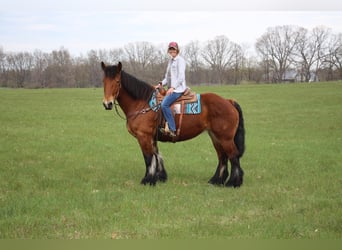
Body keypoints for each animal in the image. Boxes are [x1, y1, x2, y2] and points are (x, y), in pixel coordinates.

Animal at [100, 62, 244, 188]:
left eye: (117, 82)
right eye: (104, 82)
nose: (107, 104)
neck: (143, 104)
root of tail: (228, 101)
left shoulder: (143, 136)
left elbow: (148, 158)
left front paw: (147, 180)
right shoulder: (152, 137)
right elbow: (157, 156)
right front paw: (159, 177)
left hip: (225, 138)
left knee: (233, 156)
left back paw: (233, 182)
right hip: (215, 136)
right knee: (222, 157)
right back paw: (216, 181)